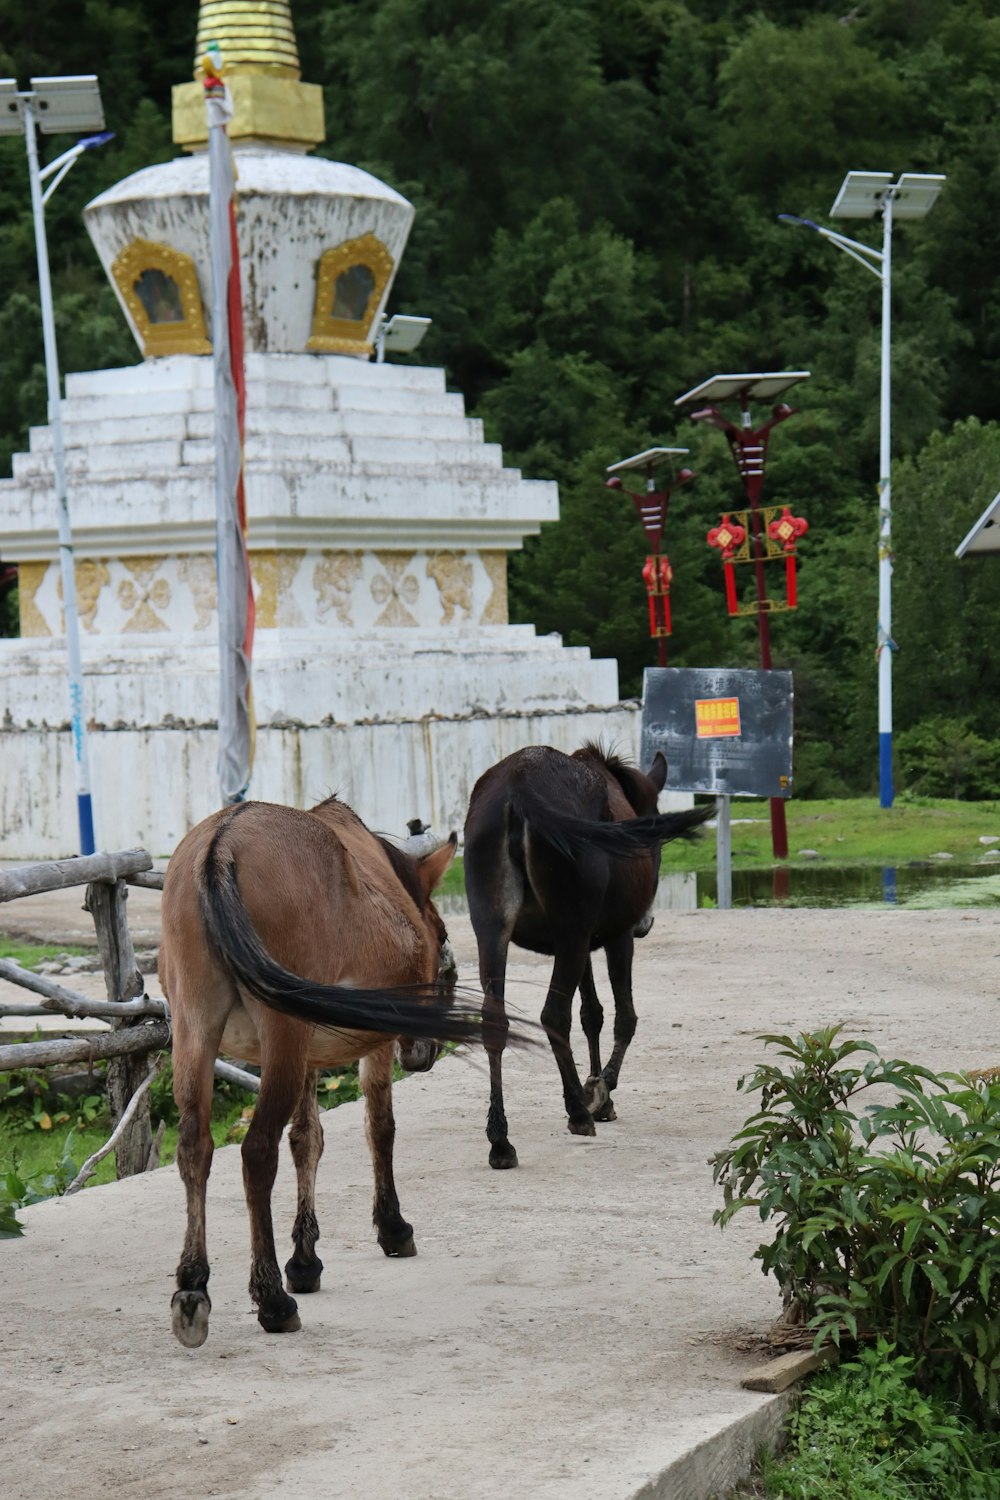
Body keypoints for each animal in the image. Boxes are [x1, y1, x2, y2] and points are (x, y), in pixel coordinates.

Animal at [158, 798, 485, 1350]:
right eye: (441, 939)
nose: (424, 1052)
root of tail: (219, 846)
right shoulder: (368, 1040)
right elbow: (379, 1127)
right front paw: (392, 1227)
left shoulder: (307, 1052)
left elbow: (307, 1139)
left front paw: (305, 1259)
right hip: (280, 1033)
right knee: (256, 1152)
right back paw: (270, 1298)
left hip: (194, 1031)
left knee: (194, 1148)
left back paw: (192, 1285)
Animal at [464, 744, 710, 1164]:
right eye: (654, 839)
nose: (646, 923)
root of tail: (519, 788)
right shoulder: (615, 935)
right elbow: (623, 1017)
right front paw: (602, 1086)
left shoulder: (581, 940)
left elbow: (591, 1012)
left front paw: (596, 1089)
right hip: (572, 930)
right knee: (553, 1015)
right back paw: (577, 1112)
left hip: (495, 929)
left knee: (495, 1019)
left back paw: (500, 1138)